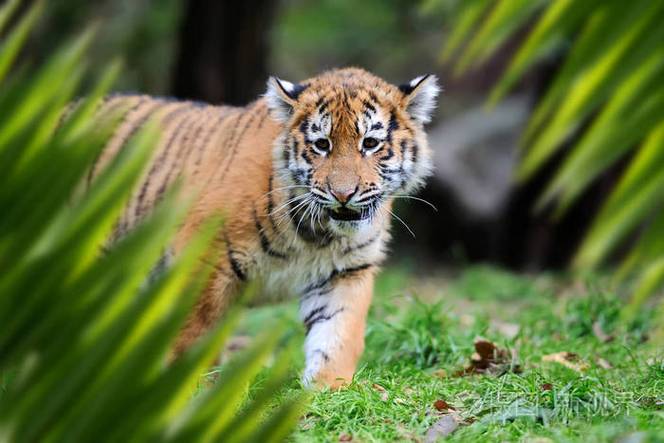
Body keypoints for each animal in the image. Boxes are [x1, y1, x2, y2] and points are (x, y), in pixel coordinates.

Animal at [91, 67, 439, 388]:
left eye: (370, 143)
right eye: (321, 144)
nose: (343, 194)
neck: (317, 235)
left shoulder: (347, 272)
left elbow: (337, 334)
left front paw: (327, 388)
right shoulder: (201, 259)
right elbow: (193, 333)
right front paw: (190, 387)